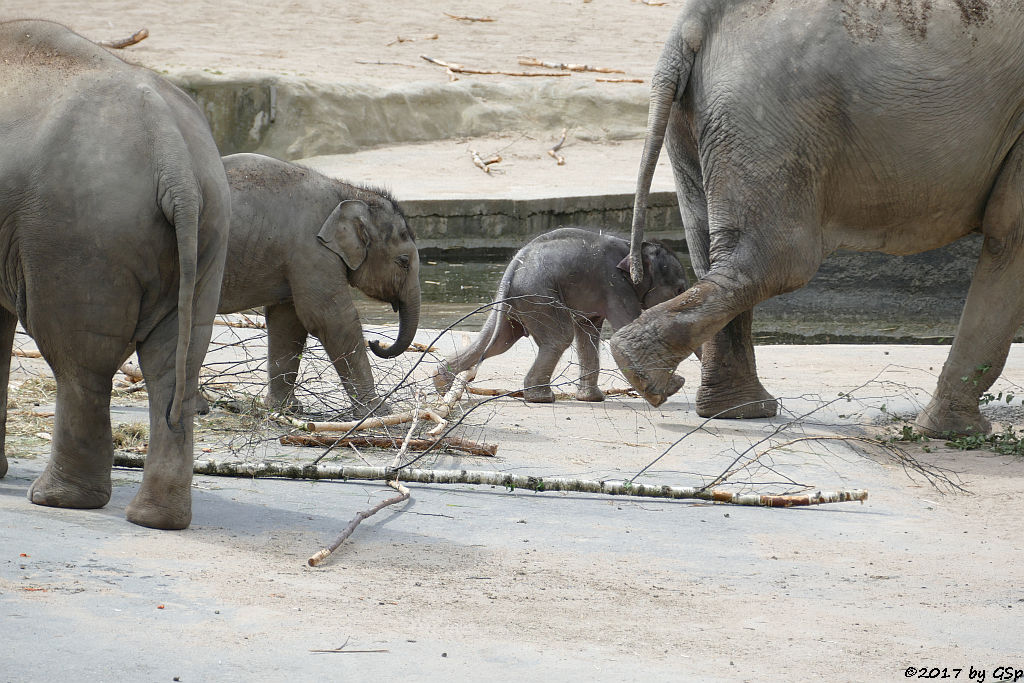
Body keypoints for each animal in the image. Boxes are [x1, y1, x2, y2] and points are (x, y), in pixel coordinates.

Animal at [0, 21, 228, 532]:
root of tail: (172, 152)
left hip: (78, 234)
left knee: (79, 362)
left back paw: (56, 499)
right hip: (207, 232)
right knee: (174, 365)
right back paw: (156, 519)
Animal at [432, 227, 688, 403]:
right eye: (680, 290)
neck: (633, 248)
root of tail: (513, 266)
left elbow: (588, 333)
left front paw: (592, 399)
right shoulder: (616, 286)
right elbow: (625, 328)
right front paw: (672, 387)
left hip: (512, 303)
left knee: (498, 341)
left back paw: (442, 385)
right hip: (540, 295)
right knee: (559, 337)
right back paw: (541, 398)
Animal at [606, 0, 1024, 436]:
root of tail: (692, 24)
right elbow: (1011, 235)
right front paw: (953, 433)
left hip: (704, 121)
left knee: (711, 249)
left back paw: (731, 407)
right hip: (772, 118)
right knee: (779, 261)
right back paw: (646, 373)